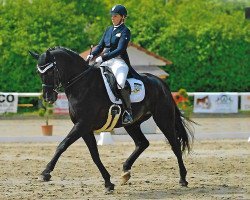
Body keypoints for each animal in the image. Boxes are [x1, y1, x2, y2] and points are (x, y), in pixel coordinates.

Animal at [28, 46, 193, 193]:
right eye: (38, 72)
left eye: (51, 70)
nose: (48, 97)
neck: (83, 84)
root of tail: (160, 82)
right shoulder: (85, 129)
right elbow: (94, 155)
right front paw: (108, 183)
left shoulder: (82, 125)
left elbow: (62, 145)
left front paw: (46, 173)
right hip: (132, 124)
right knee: (142, 143)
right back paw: (125, 171)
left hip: (163, 119)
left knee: (174, 145)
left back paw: (183, 179)